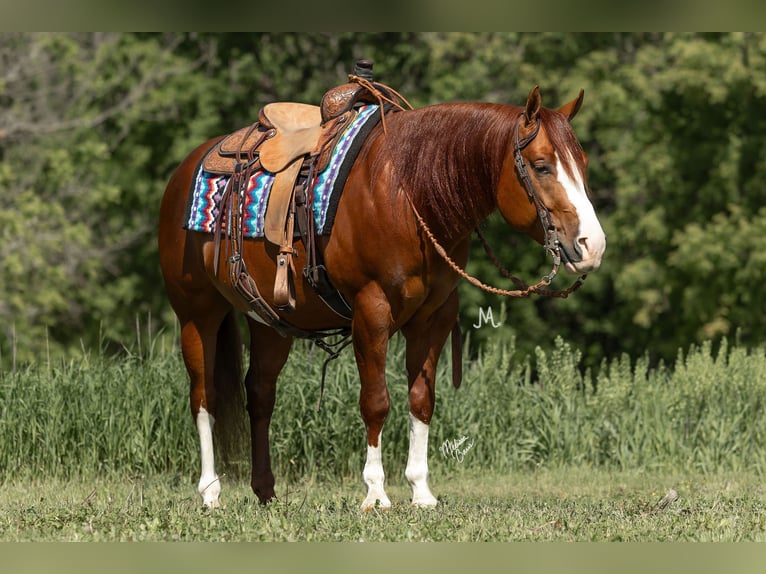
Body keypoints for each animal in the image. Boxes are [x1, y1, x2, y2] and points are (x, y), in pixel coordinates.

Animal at [159, 86, 608, 512]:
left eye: (583, 165)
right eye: (541, 166)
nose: (593, 245)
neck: (406, 194)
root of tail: (186, 168)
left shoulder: (433, 317)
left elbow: (422, 400)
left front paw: (421, 491)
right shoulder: (370, 311)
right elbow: (375, 402)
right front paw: (376, 493)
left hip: (270, 322)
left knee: (259, 394)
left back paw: (265, 492)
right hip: (197, 314)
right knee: (204, 398)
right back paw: (210, 492)